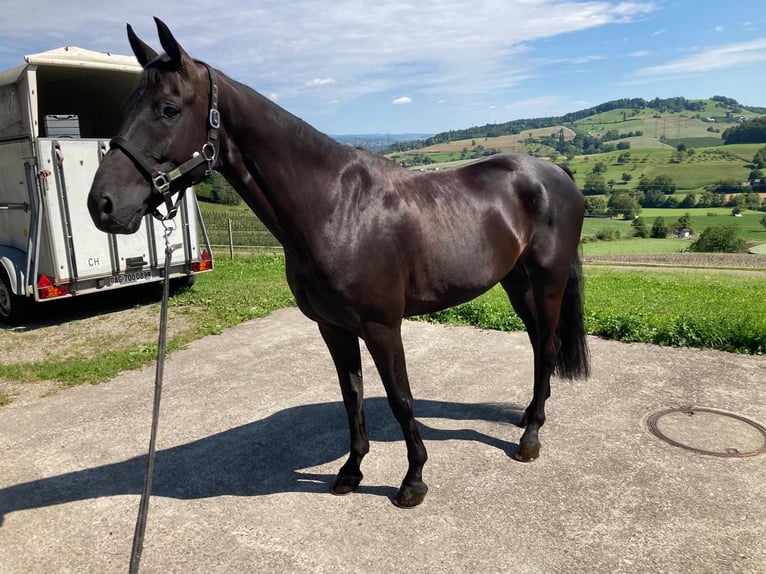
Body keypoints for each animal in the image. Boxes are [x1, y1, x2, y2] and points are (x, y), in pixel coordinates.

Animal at [88, 18, 590, 508]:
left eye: (169, 109)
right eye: (128, 105)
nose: (102, 205)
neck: (334, 207)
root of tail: (554, 172)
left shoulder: (383, 327)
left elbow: (400, 398)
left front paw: (413, 480)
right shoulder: (333, 328)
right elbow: (353, 396)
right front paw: (351, 471)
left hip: (547, 282)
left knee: (546, 346)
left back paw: (530, 438)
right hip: (515, 283)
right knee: (536, 344)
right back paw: (528, 415)